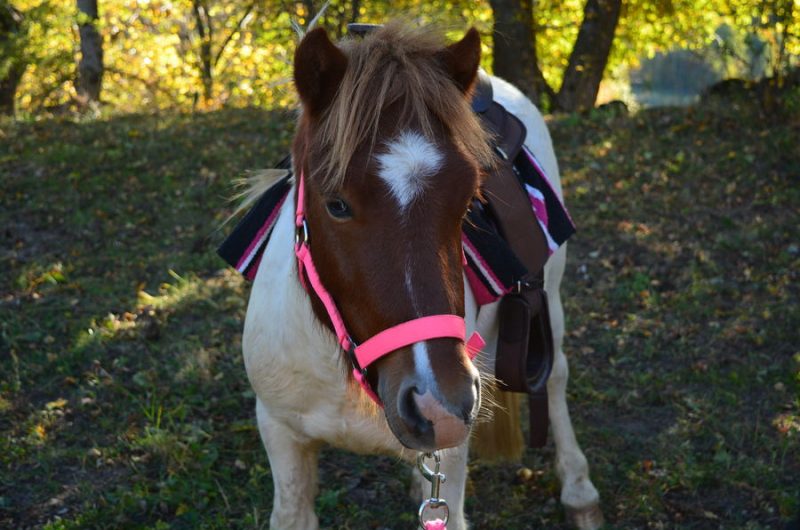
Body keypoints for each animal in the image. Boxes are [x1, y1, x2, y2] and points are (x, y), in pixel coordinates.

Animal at [241, 21, 604, 528]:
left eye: (469, 201)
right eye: (336, 204)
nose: (440, 407)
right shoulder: (280, 432)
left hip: (548, 298)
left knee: (554, 376)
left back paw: (579, 490)